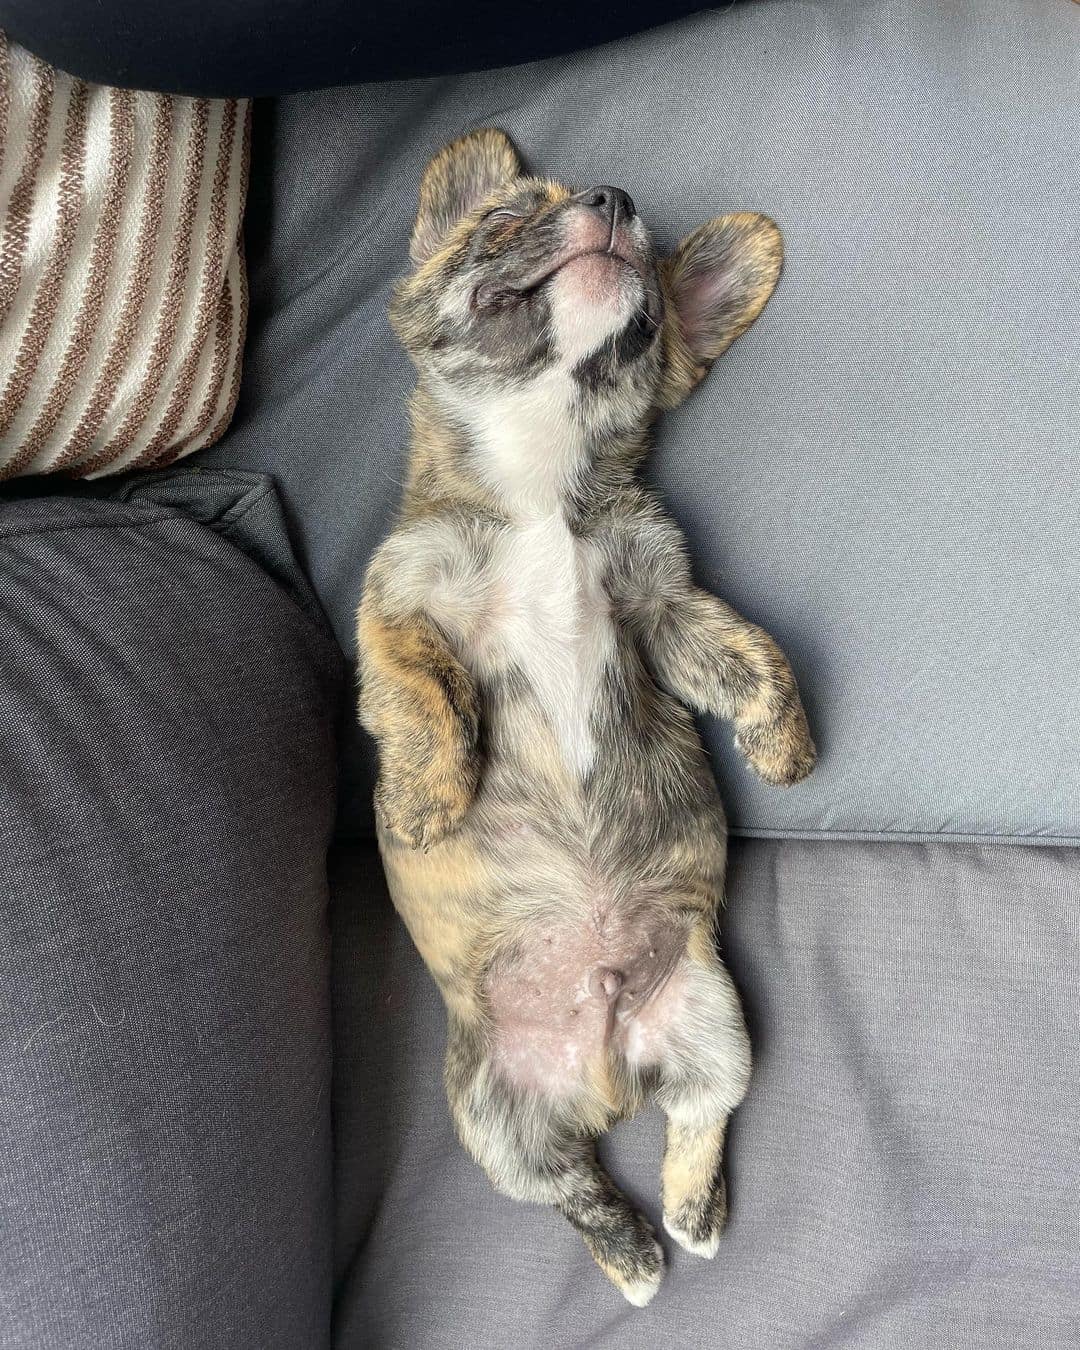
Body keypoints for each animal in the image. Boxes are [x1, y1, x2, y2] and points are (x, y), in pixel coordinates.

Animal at [359, 131, 815, 1301]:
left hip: (714, 1023)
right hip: (494, 1124)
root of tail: (606, 1075)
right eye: (504, 218)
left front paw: (783, 743)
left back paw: (690, 1217)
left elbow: (756, 656)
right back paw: (633, 1253)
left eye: (650, 274)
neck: (536, 470)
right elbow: (417, 691)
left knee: (695, 1118)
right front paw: (424, 798)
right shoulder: (392, 606)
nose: (616, 198)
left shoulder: (661, 603)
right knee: (575, 1190)